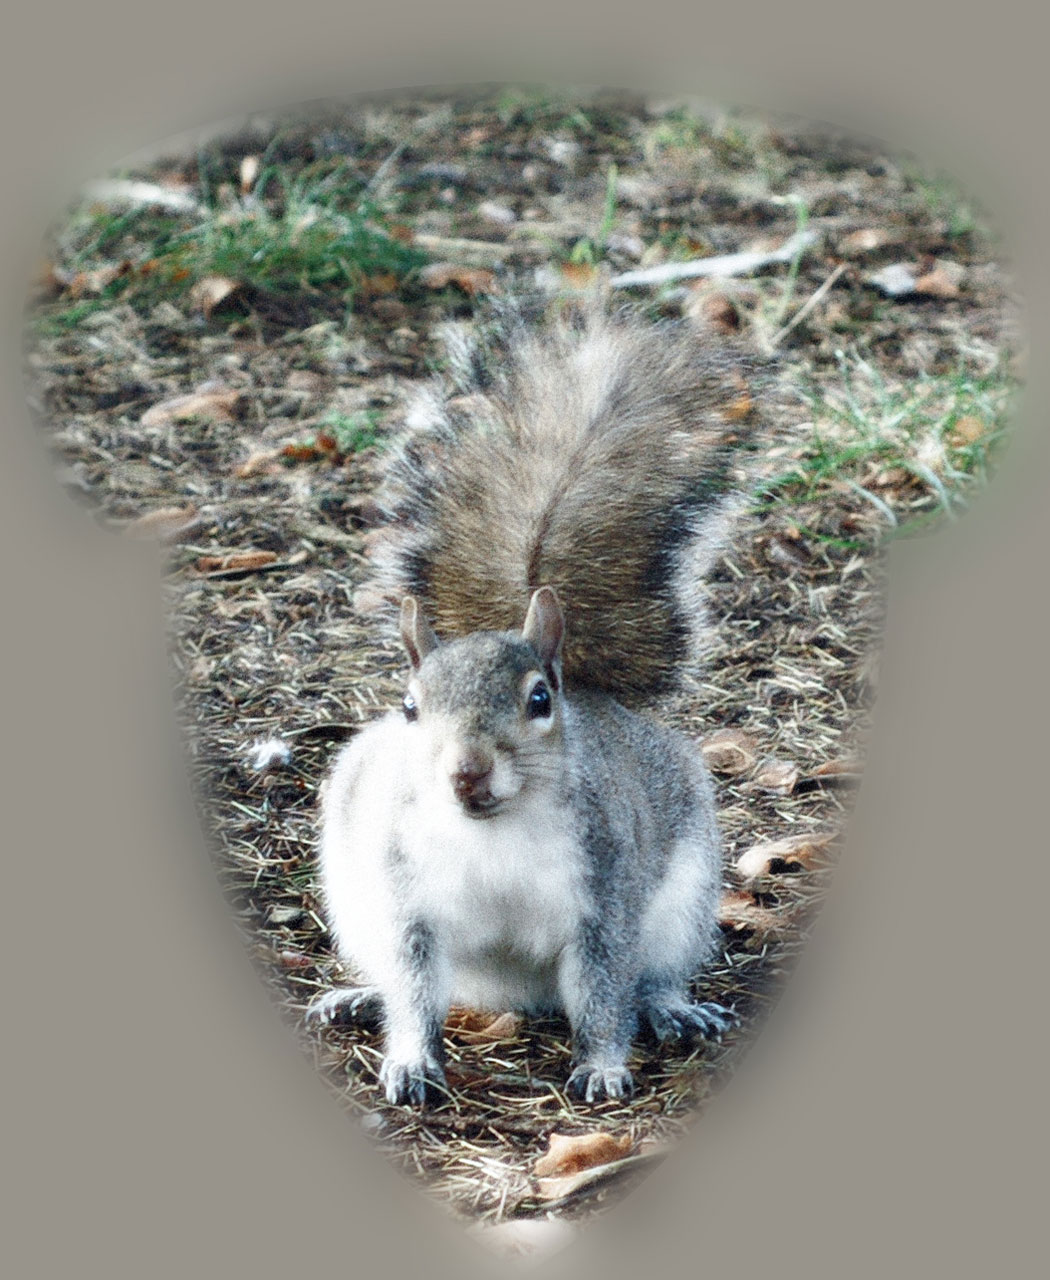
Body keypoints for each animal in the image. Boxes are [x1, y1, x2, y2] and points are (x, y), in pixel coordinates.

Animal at [307, 302, 758, 1111]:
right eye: (409, 708)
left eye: (540, 700)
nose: (467, 772)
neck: (489, 835)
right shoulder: (407, 901)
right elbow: (415, 989)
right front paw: (410, 1059)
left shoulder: (605, 893)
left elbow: (605, 994)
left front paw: (604, 1065)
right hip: (356, 902)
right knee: (411, 982)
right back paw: (359, 996)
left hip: (683, 903)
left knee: (651, 977)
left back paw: (675, 1008)